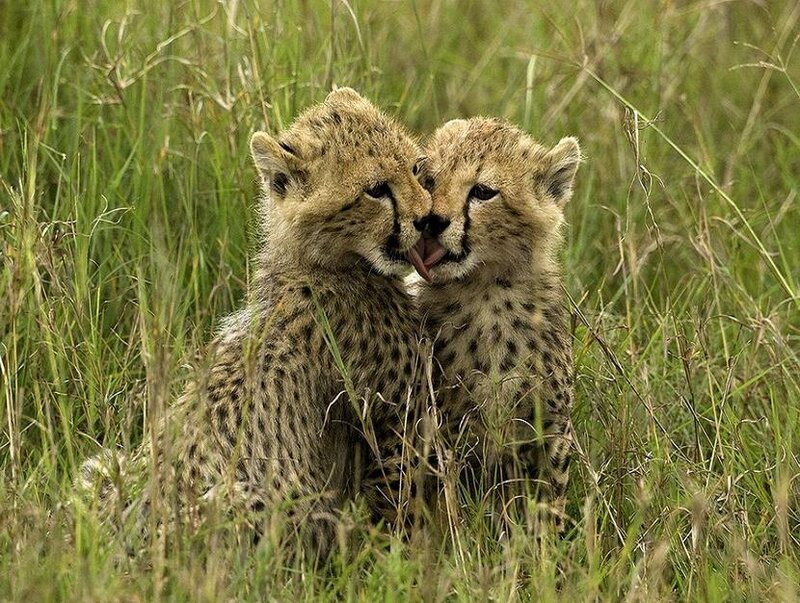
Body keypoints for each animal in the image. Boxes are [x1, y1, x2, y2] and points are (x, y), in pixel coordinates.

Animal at [76, 88, 432, 561]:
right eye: (376, 190)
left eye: (414, 168)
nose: (427, 219)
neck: (315, 261)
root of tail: (117, 546)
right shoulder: (395, 419)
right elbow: (402, 503)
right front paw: (409, 559)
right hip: (272, 503)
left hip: (102, 466)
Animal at [410, 116, 581, 536]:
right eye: (429, 181)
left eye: (482, 192)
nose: (433, 222)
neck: (486, 289)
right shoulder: (441, 430)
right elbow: (447, 507)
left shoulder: (550, 429)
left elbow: (547, 504)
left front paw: (546, 550)